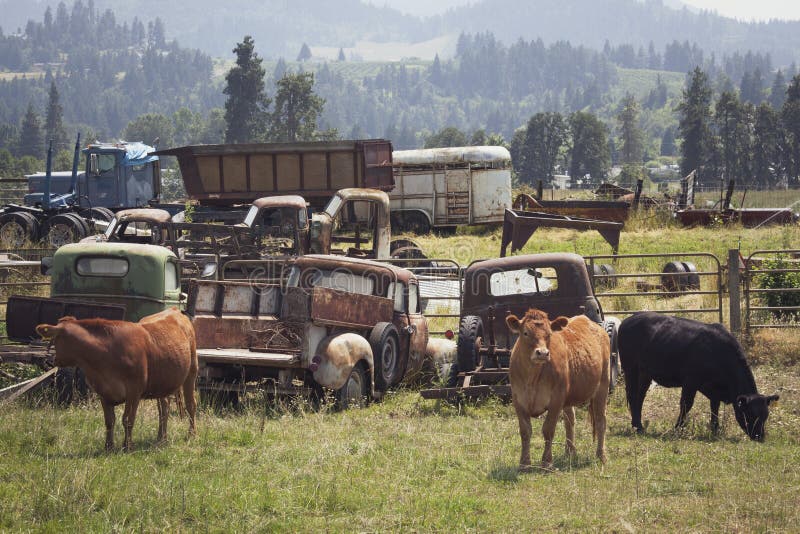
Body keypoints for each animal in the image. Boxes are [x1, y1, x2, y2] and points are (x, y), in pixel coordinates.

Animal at [36, 308, 200, 454]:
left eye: (55, 339)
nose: (51, 360)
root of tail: (175, 310)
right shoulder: (103, 391)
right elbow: (109, 421)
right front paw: (108, 447)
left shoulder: (134, 391)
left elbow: (127, 419)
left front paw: (127, 447)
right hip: (162, 383)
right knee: (164, 408)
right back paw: (161, 438)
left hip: (192, 371)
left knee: (190, 405)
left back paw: (192, 434)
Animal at [506, 308, 612, 472]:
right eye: (525, 333)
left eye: (549, 334)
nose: (542, 353)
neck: (531, 378)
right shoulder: (518, 399)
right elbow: (525, 431)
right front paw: (524, 463)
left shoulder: (556, 400)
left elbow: (548, 430)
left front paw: (547, 462)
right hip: (569, 398)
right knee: (570, 420)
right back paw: (570, 452)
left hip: (602, 386)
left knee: (601, 420)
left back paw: (601, 456)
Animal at [616, 312, 780, 442]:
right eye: (750, 414)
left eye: (765, 416)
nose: (760, 437)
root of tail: (630, 319)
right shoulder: (691, 381)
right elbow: (686, 405)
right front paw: (678, 428)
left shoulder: (714, 389)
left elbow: (714, 408)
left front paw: (715, 429)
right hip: (630, 368)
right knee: (633, 395)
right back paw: (638, 427)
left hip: (645, 373)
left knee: (640, 397)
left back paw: (638, 425)